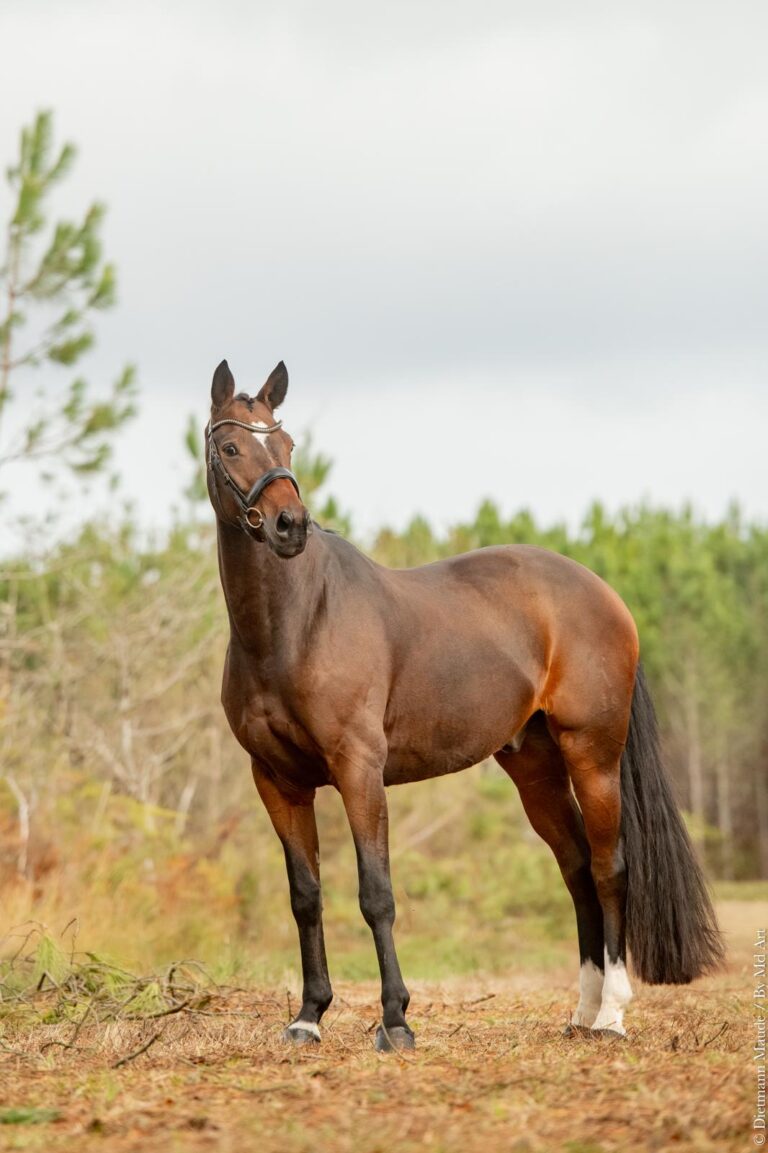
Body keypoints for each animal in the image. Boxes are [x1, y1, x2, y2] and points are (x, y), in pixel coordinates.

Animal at [205, 358, 723, 1050]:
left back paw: (612, 1015)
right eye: (232, 446)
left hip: (594, 755)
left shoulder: (359, 772)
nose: (291, 526)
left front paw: (396, 1020)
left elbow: (376, 894)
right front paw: (309, 1017)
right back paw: (582, 1014)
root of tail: (602, 593)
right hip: (535, 769)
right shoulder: (278, 781)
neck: (295, 624)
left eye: (286, 445)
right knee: (577, 871)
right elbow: (305, 896)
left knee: (609, 868)